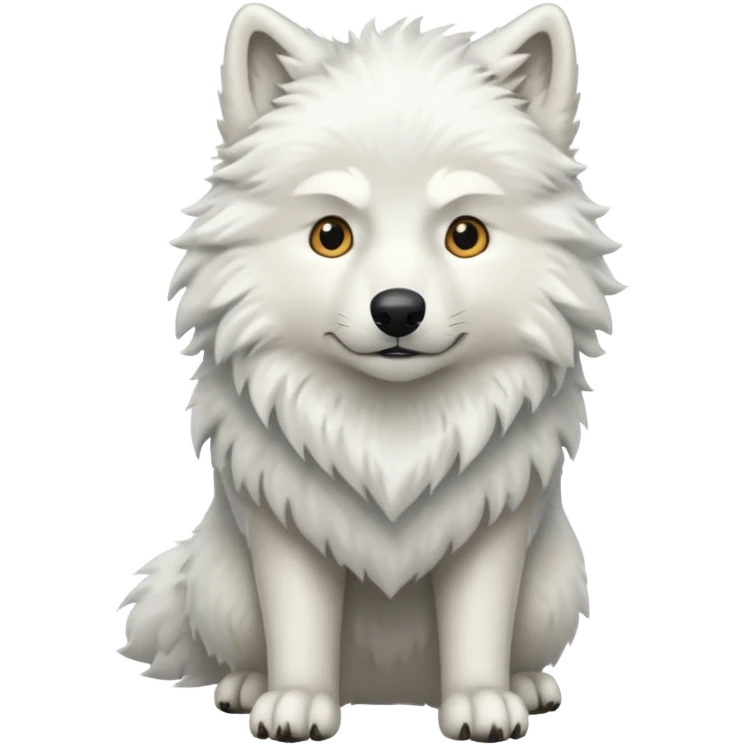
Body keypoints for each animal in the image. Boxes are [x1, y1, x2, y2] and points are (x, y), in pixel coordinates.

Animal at [118, 2, 622, 742]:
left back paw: (527, 686)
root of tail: (388, 692)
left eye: (465, 235)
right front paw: (295, 704)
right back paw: (248, 686)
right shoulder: (286, 525)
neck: (392, 439)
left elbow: (478, 623)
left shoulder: (492, 526)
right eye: (331, 235)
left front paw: (481, 703)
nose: (397, 310)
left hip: (555, 585)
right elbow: (299, 623)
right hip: (221, 589)